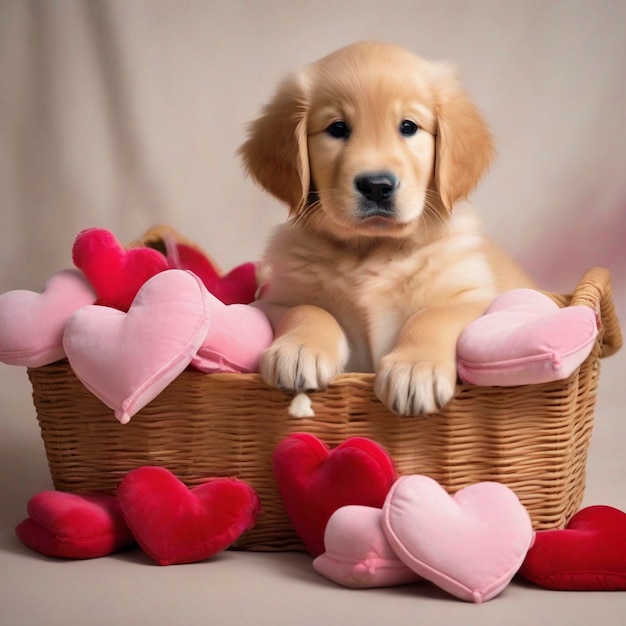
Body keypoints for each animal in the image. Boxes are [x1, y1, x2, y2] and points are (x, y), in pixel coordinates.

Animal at [238, 42, 532, 414]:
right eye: (337, 128)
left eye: (408, 126)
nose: (376, 186)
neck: (371, 249)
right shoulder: (273, 300)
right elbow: (307, 308)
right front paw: (300, 349)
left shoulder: (475, 298)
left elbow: (435, 313)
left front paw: (415, 367)